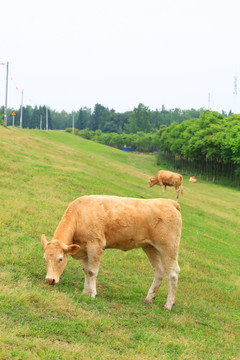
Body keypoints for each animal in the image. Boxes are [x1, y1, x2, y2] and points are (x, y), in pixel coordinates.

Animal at [41, 195, 182, 310]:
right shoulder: (85, 249)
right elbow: (86, 271)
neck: (80, 214)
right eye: (44, 259)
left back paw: (168, 305)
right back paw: (148, 299)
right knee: (159, 271)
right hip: (150, 247)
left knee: (173, 273)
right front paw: (85, 292)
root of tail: (169, 202)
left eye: (60, 259)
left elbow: (92, 271)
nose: (50, 280)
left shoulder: (95, 245)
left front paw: (92, 294)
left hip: (169, 247)